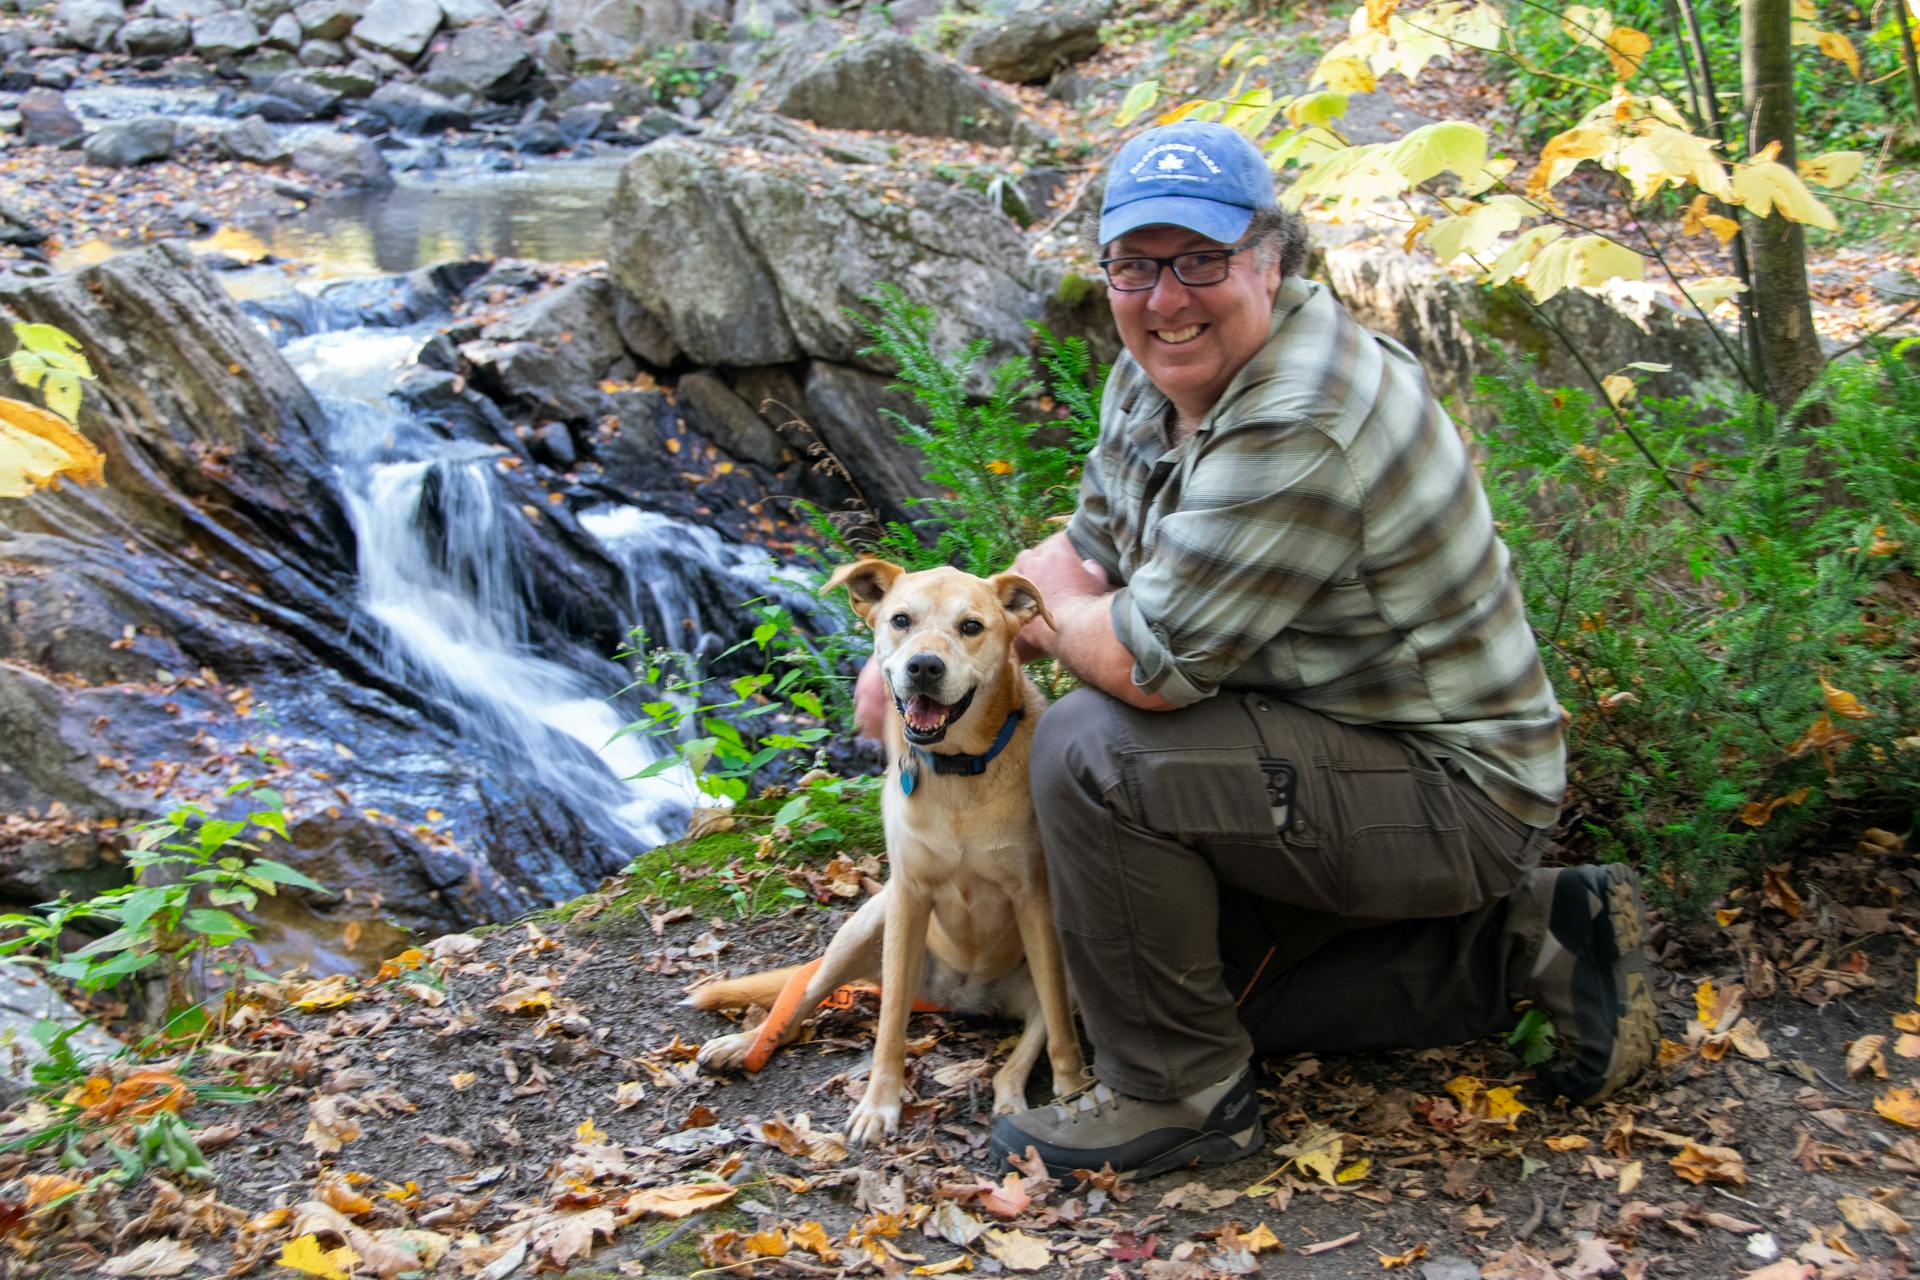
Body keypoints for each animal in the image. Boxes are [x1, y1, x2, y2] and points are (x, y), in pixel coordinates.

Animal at [687, 556, 1082, 1143]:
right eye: (901, 619)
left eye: (971, 626)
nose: (924, 666)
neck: (957, 775)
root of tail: (960, 999)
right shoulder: (909, 896)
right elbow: (890, 1022)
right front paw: (880, 1103)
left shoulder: (1032, 898)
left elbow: (1057, 1026)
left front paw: (1075, 1087)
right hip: (864, 927)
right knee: (799, 1001)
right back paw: (745, 1044)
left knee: (1022, 1048)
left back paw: (1011, 1099)